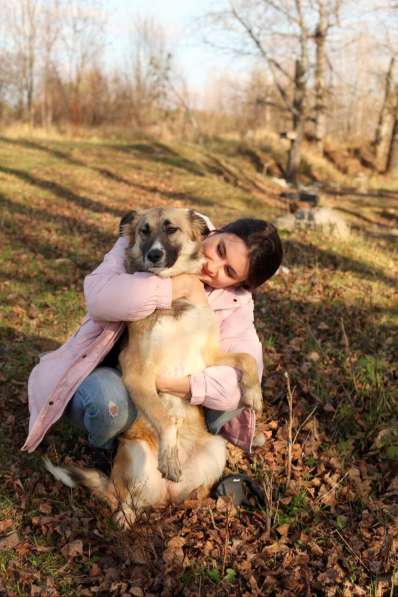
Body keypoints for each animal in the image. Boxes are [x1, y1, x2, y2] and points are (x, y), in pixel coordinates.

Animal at [45, 206, 262, 528]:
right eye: (144, 231)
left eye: (171, 229)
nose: (154, 255)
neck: (174, 298)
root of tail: (164, 496)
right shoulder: (138, 374)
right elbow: (166, 419)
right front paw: (169, 455)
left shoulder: (208, 357)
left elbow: (247, 358)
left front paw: (253, 394)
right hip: (135, 453)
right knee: (123, 499)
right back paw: (125, 517)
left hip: (217, 449)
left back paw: (208, 506)